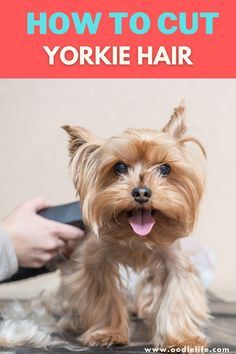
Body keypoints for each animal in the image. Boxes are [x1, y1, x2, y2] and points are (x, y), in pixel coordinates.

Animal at [58, 103, 208, 350]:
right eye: (119, 167)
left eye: (165, 169)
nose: (142, 192)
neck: (137, 238)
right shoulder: (96, 261)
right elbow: (105, 297)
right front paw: (107, 333)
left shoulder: (174, 260)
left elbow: (177, 296)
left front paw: (182, 339)